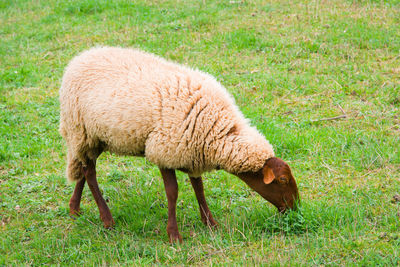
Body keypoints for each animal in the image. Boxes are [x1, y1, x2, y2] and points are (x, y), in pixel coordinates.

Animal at [57, 47, 298, 244]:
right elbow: (172, 192)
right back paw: (107, 219)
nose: (296, 209)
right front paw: (174, 236)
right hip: (82, 132)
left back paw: (74, 209)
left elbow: (199, 188)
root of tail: (80, 57)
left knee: (82, 168)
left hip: (95, 138)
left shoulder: (193, 153)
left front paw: (211, 223)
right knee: (90, 173)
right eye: (283, 180)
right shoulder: (164, 150)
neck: (218, 130)